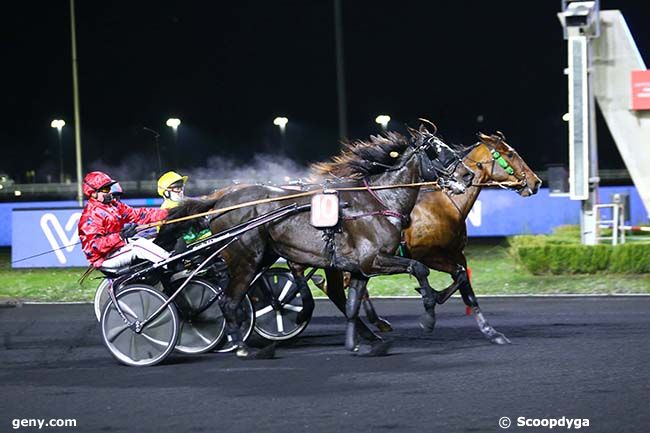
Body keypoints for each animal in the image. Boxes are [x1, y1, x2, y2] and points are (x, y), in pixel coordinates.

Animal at [157, 123, 470, 356]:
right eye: (435, 150)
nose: (466, 175)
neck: (379, 201)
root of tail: (220, 201)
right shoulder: (374, 260)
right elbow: (419, 268)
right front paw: (428, 315)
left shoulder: (360, 267)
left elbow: (353, 301)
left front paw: (362, 339)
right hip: (247, 258)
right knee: (228, 301)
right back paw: (241, 346)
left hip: (266, 255)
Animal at [322, 132, 540, 344]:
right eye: (510, 154)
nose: (536, 181)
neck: (444, 204)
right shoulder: (426, 255)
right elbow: (455, 275)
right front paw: (432, 299)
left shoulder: (457, 254)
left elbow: (465, 285)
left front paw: (491, 332)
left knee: (337, 289)